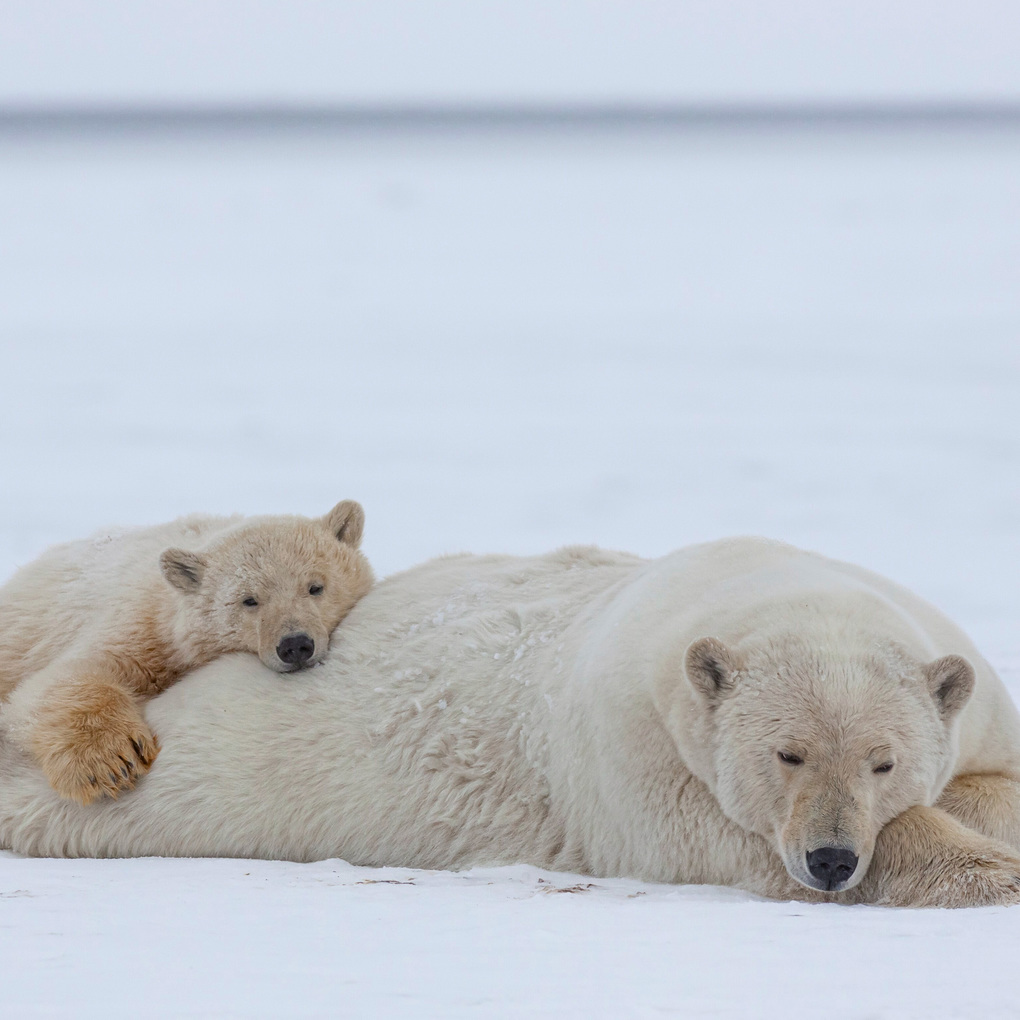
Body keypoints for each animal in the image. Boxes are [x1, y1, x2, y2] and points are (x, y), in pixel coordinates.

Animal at [0, 500, 373, 805]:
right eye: (249, 600)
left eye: (316, 587)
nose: (294, 645)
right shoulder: (145, 627)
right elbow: (60, 678)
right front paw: (113, 762)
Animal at [0, 537, 1019, 908]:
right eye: (788, 754)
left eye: (884, 761)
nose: (833, 858)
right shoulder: (634, 753)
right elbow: (723, 840)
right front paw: (987, 872)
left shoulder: (972, 700)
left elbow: (992, 777)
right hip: (207, 757)